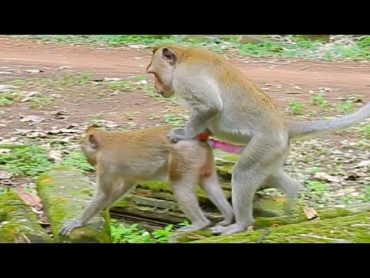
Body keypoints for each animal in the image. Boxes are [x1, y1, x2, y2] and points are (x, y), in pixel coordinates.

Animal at [60, 125, 234, 236]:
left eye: (83, 149)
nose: (89, 162)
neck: (106, 144)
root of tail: (198, 139)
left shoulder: (105, 164)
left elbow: (103, 193)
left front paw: (77, 222)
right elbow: (126, 185)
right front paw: (104, 208)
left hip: (185, 157)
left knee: (179, 186)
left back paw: (200, 223)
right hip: (203, 159)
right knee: (209, 183)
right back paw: (228, 218)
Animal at [146, 45, 370, 235]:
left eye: (153, 74)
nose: (157, 89)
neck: (184, 57)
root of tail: (283, 126)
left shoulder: (187, 77)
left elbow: (210, 107)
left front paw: (184, 134)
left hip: (267, 143)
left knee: (244, 173)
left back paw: (241, 224)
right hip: (276, 150)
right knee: (267, 174)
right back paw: (291, 195)